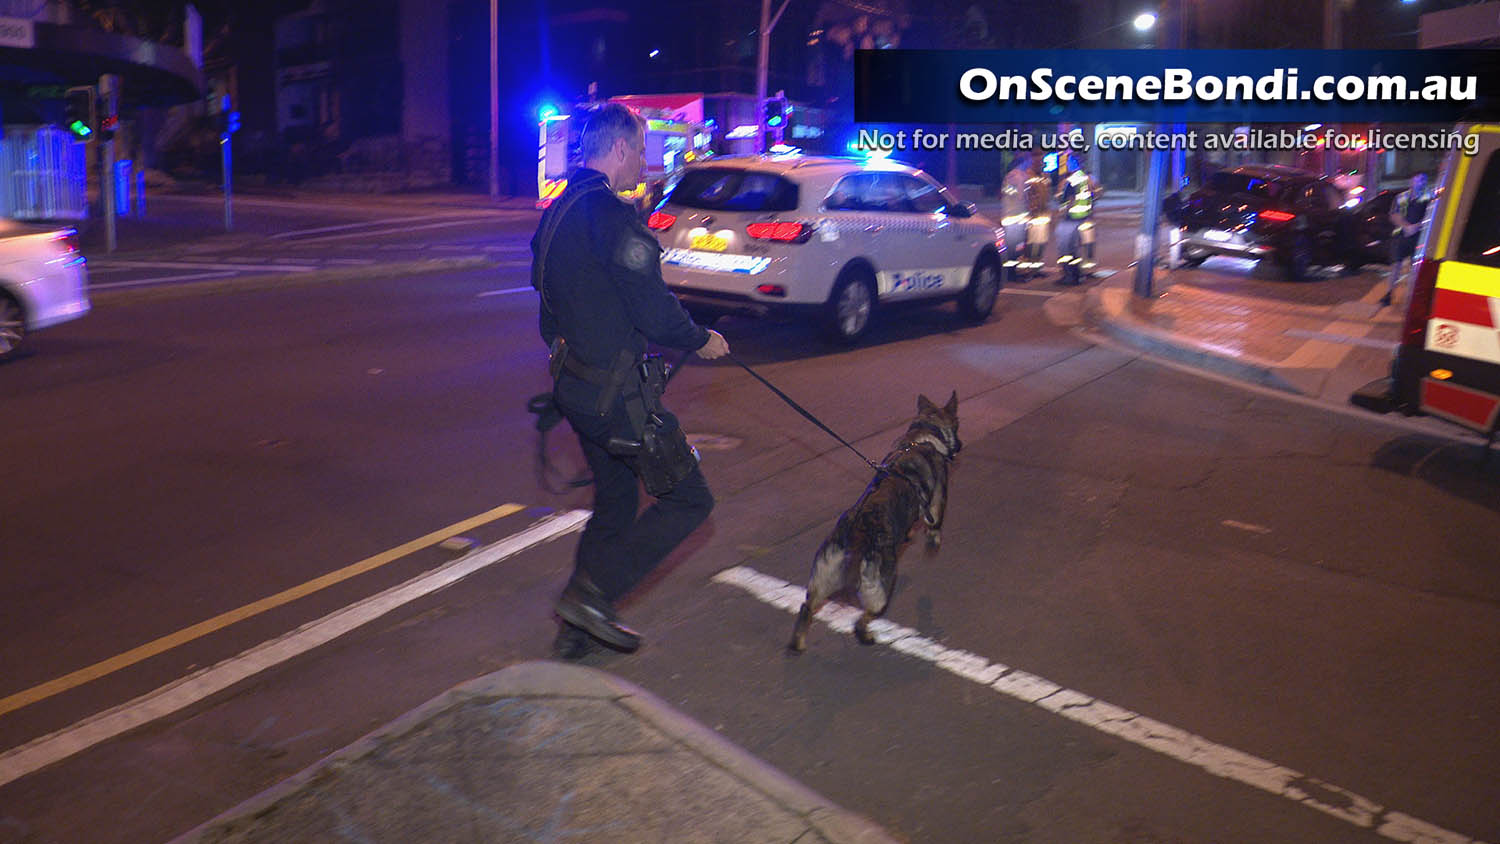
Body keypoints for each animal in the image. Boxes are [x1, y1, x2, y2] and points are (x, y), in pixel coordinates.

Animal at [786, 392, 960, 653]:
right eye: (957, 425)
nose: (959, 446)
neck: (923, 437)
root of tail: (857, 535)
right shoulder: (937, 504)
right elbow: (935, 526)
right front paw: (932, 541)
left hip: (822, 576)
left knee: (806, 607)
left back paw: (798, 643)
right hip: (881, 586)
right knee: (861, 620)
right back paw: (866, 636)